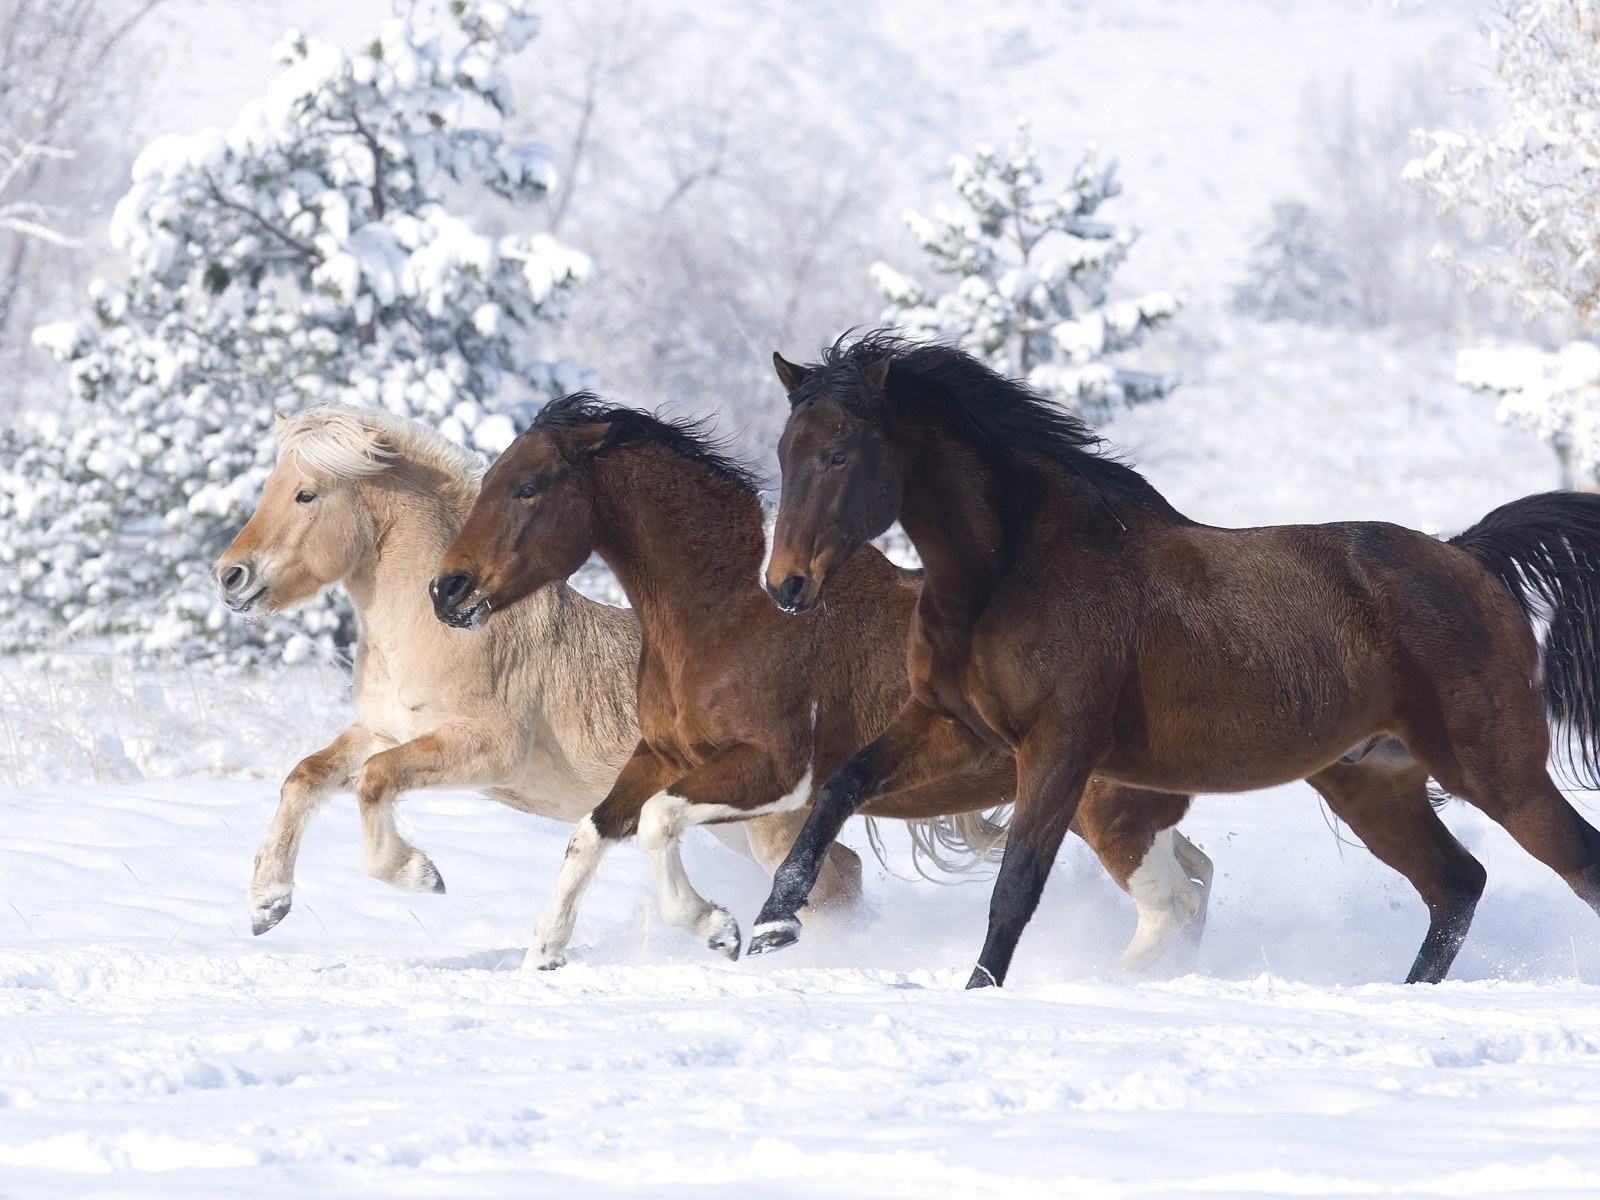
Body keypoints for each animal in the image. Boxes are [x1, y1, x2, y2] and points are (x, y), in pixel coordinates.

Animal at [212, 403, 863, 943]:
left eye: (306, 494)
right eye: (269, 488)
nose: (229, 577)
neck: (440, 628)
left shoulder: (485, 749)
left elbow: (373, 781)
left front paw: (421, 875)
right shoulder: (385, 730)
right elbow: (304, 776)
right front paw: (267, 904)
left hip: (768, 824)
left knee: (829, 886)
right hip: (730, 819)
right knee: (845, 871)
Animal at [430, 393, 1214, 971]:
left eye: (527, 488)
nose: (446, 590)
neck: (727, 611)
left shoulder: (773, 772)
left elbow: (656, 824)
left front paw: (719, 928)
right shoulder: (661, 755)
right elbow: (590, 834)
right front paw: (544, 954)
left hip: (1106, 810)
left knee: (1172, 905)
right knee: (1195, 882)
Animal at [750, 332, 1600, 988]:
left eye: (837, 453)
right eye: (786, 452)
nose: (785, 586)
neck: (1013, 570)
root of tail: (1470, 557)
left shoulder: (1059, 751)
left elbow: (1014, 888)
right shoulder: (953, 727)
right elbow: (838, 790)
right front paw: (768, 929)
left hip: (1498, 772)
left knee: (1572, 865)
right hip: (1374, 783)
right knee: (1456, 886)